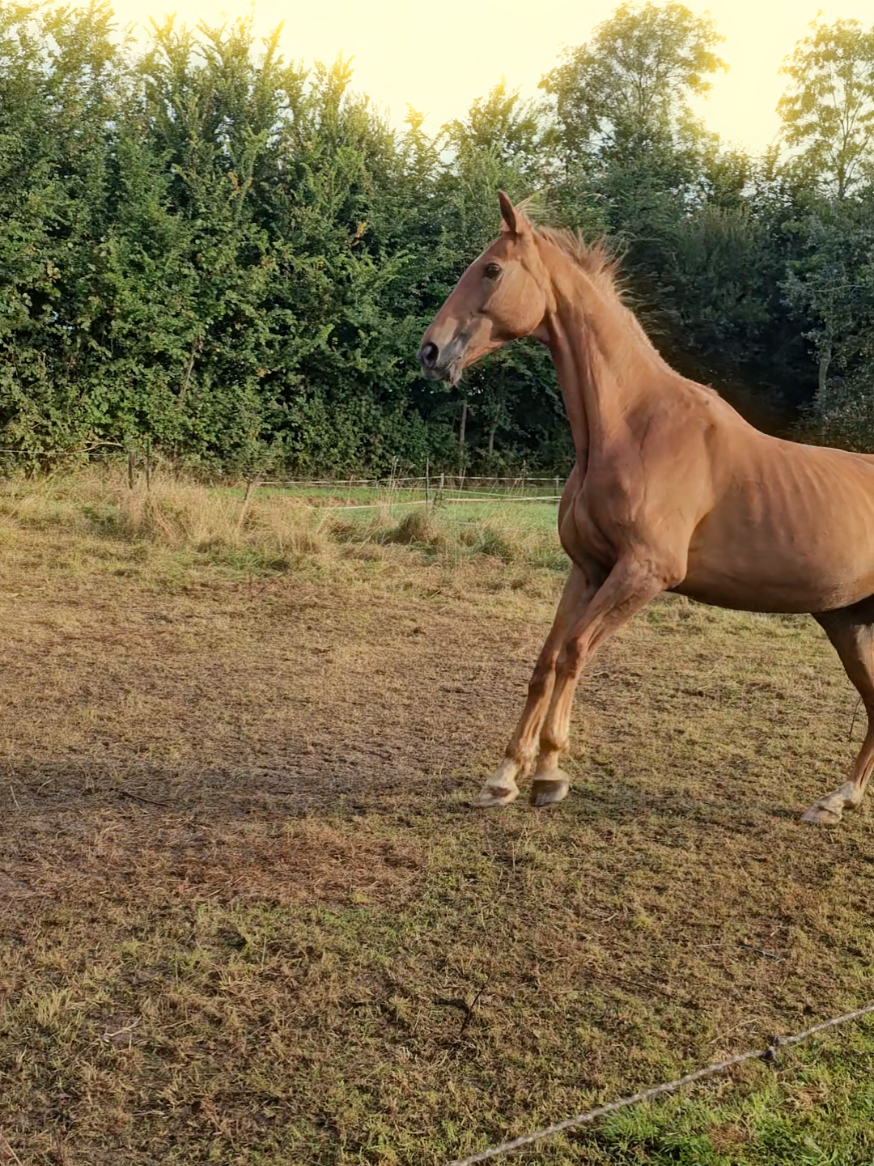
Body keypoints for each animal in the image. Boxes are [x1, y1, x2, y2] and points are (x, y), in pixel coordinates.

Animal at [418, 191, 874, 826]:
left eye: (491, 269)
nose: (430, 351)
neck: (631, 426)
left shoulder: (644, 572)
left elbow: (574, 653)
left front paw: (550, 774)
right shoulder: (589, 569)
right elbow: (546, 659)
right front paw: (504, 776)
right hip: (847, 620)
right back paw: (837, 800)